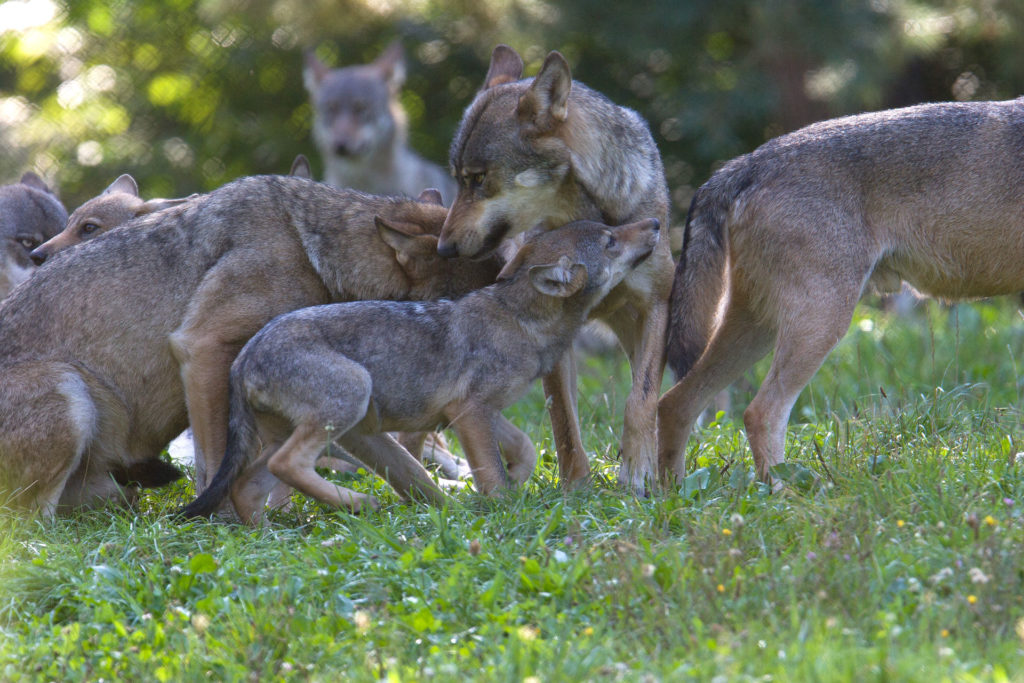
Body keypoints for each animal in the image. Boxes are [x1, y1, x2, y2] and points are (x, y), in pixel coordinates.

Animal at [438, 45, 671, 493]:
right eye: (458, 180)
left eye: (479, 179)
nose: (444, 248)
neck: (590, 215)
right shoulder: (555, 332)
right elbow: (564, 423)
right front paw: (576, 488)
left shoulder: (655, 304)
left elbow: (641, 398)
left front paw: (637, 472)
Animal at [659, 98, 1024, 489]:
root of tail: (749, 161)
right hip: (820, 323)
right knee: (759, 411)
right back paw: (788, 493)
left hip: (759, 327)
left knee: (674, 403)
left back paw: (672, 495)